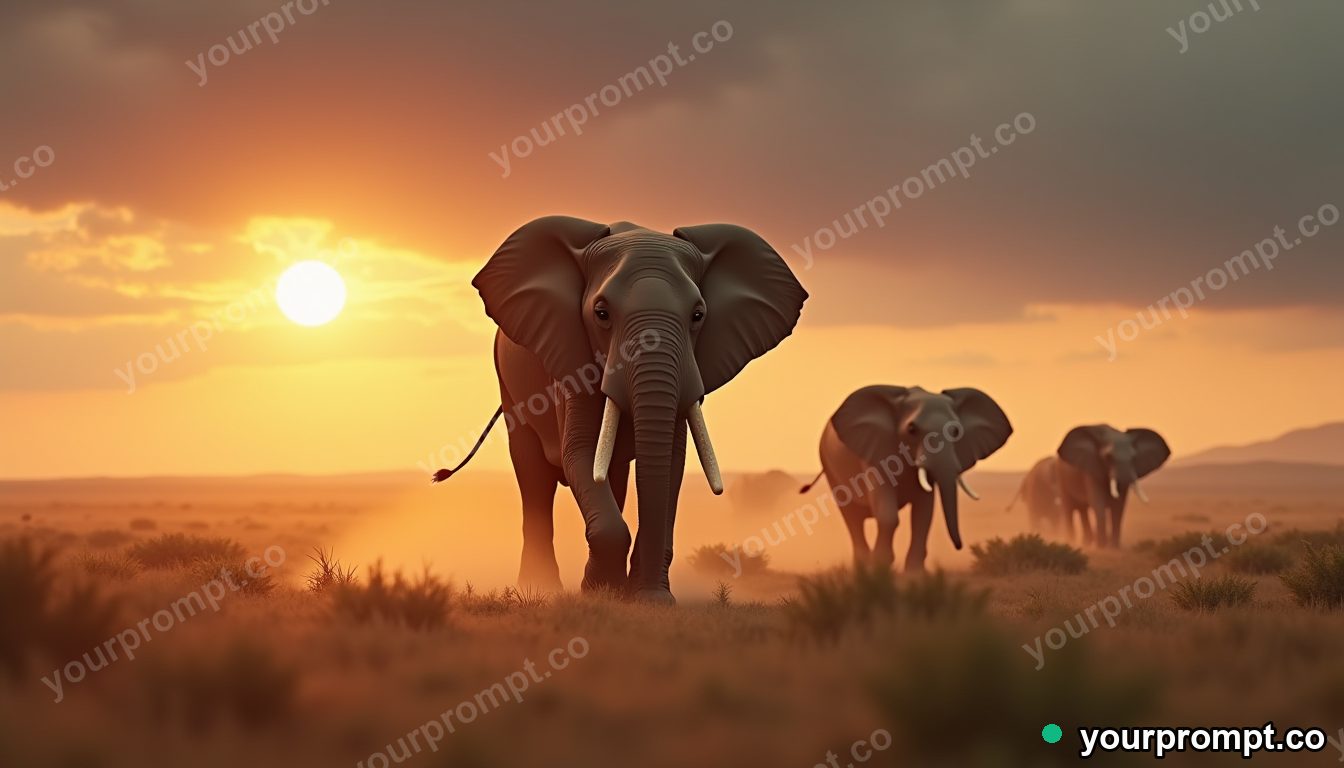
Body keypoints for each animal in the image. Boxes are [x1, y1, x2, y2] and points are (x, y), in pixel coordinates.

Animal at [434, 216, 807, 604]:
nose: (655, 599)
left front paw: (642, 600)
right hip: (508, 385)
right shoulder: (570, 361)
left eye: (698, 315)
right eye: (601, 314)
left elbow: (671, 463)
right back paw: (541, 590)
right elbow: (579, 452)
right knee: (533, 477)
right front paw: (598, 593)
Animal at [800, 386, 1013, 572]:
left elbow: (923, 514)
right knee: (852, 519)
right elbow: (888, 514)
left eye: (956, 431)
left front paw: (914, 573)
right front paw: (881, 567)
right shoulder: (876, 450)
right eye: (911, 429)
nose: (960, 546)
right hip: (830, 466)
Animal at [1009, 425, 1171, 547]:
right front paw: (1102, 546)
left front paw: (1113, 547)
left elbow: (1118, 506)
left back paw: (1086, 542)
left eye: (1134, 457)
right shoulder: (1090, 468)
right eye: (1108, 457)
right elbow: (1098, 503)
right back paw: (1073, 542)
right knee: (1067, 510)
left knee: (1081, 510)